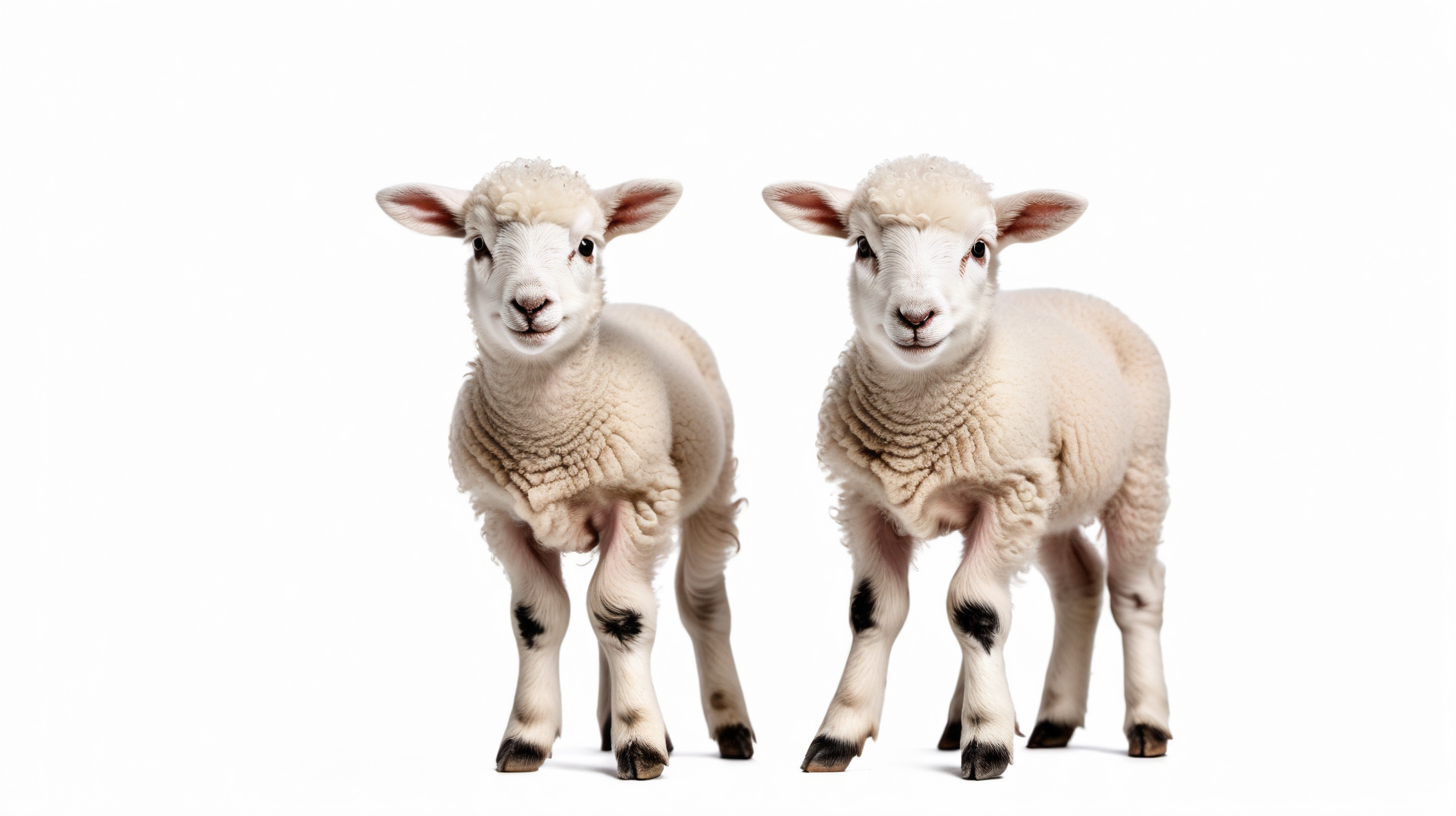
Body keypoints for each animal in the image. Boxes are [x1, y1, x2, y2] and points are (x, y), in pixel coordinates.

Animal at [375, 158, 757, 775]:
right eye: (478, 245)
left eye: (586, 245)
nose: (531, 305)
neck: (546, 437)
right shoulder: (501, 516)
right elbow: (538, 619)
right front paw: (527, 738)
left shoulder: (641, 501)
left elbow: (622, 614)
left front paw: (641, 743)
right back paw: (609, 725)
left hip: (712, 491)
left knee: (701, 608)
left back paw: (730, 728)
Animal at [762, 155, 1170, 781]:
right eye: (862, 246)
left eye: (980, 248)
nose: (915, 316)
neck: (919, 417)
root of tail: (1078, 296)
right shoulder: (866, 500)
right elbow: (872, 612)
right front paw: (838, 734)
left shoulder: (1008, 493)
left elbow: (975, 610)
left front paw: (989, 741)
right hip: (1050, 498)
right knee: (1078, 581)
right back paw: (1052, 720)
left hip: (1139, 475)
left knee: (1135, 594)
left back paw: (1147, 724)